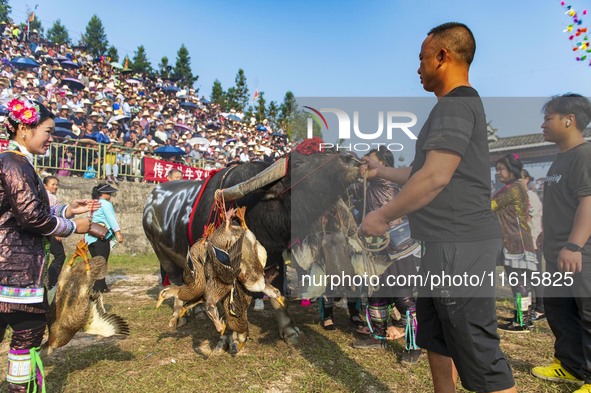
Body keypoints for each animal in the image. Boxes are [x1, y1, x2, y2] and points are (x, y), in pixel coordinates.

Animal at [145, 150, 360, 344]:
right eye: (298, 163)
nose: (350, 158)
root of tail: (150, 201)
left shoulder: (274, 260)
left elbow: (277, 296)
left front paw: (289, 331)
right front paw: (232, 335)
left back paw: (196, 311)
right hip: (161, 252)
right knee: (174, 279)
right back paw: (180, 316)